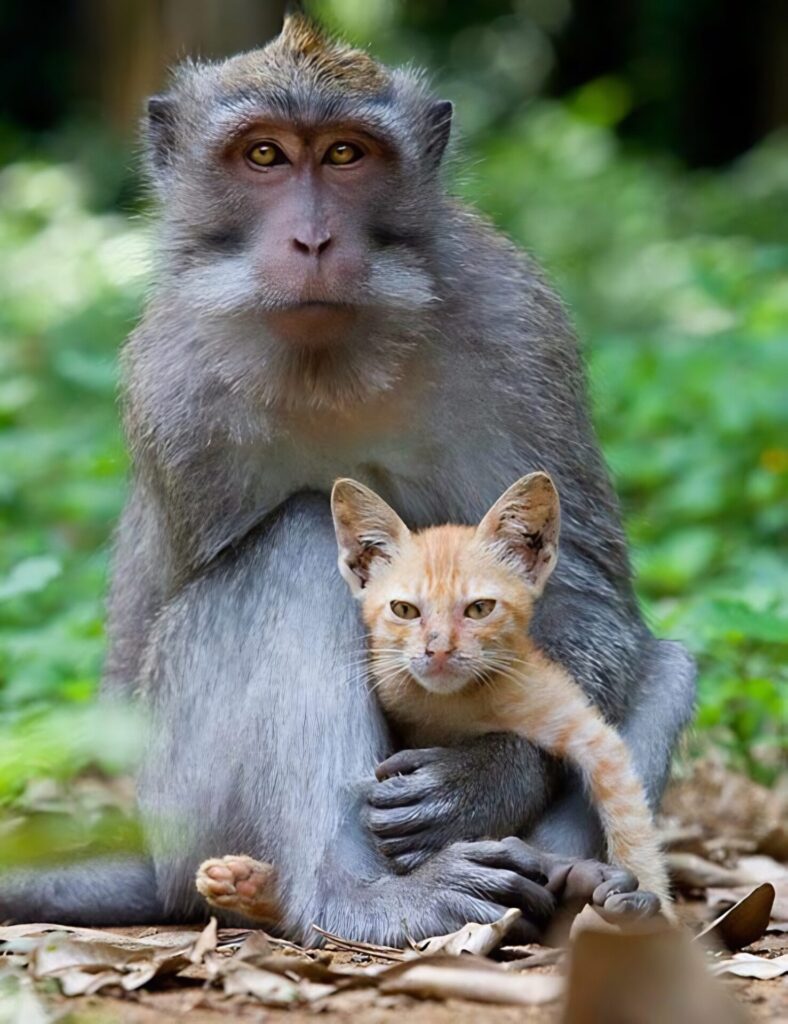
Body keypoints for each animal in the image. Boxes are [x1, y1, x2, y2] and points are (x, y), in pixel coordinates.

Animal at [0, 13, 695, 944]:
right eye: (263, 156)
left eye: (344, 155)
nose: (314, 241)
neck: (330, 360)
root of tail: (153, 859)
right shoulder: (169, 384)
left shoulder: (520, 324)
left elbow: (590, 592)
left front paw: (487, 775)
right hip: (186, 808)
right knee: (294, 550)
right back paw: (348, 896)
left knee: (667, 664)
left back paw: (577, 886)